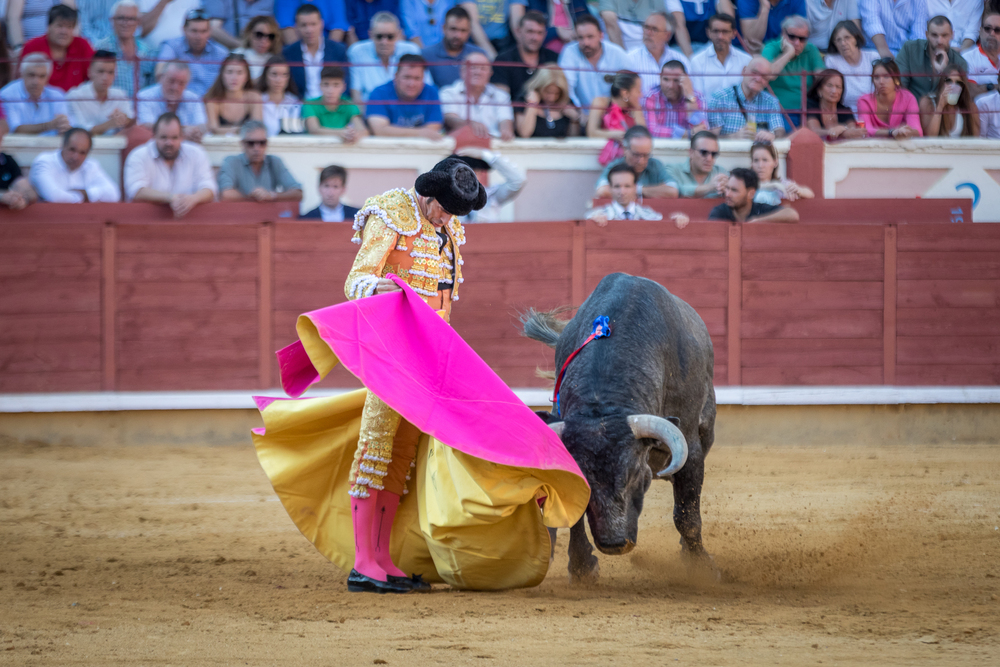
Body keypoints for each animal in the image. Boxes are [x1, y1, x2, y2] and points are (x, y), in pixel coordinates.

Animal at [520, 274, 716, 580]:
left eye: (636, 473)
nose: (614, 543)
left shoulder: (690, 448)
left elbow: (687, 515)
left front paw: (701, 568)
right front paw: (582, 567)